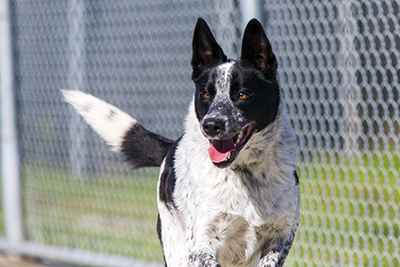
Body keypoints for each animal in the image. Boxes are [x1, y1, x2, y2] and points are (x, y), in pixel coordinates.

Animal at [63, 18, 300, 267]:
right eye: (206, 94)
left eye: (242, 95)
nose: (211, 125)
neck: (245, 174)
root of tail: (171, 147)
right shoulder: (201, 245)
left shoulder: (280, 238)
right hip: (175, 248)